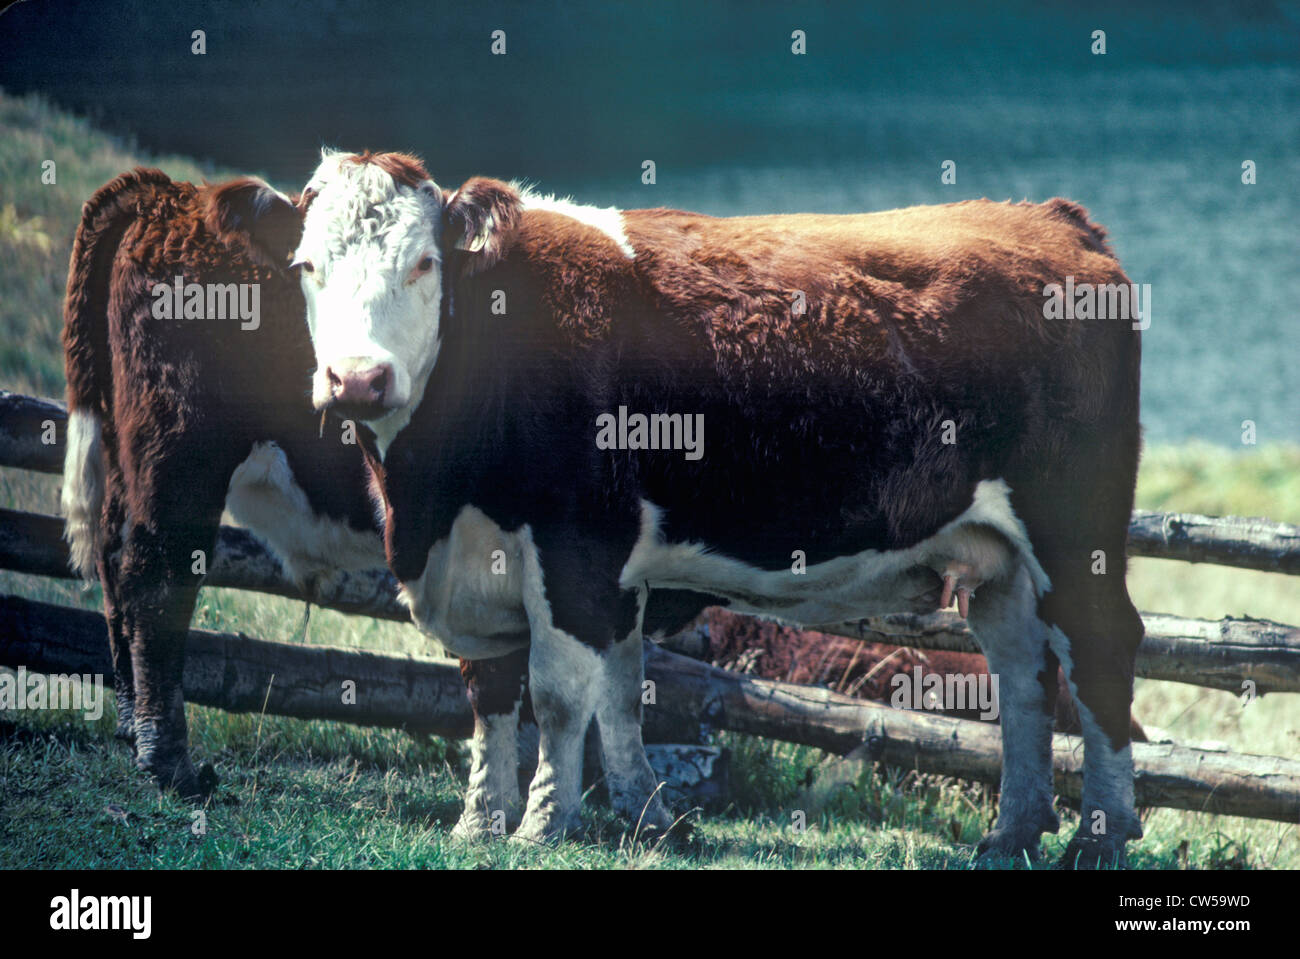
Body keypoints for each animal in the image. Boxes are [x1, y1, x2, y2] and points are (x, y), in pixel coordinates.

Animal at [294, 149, 1145, 867]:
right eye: (306, 268)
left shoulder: (575, 549)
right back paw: (1012, 833)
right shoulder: (498, 563)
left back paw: (1096, 839)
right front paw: (513, 822)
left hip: (1076, 528)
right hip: (1000, 559)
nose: (358, 379)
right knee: (1022, 669)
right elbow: (531, 692)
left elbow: (562, 694)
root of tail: (1050, 219)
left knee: (1101, 648)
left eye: (423, 262)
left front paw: (539, 827)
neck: (433, 495)